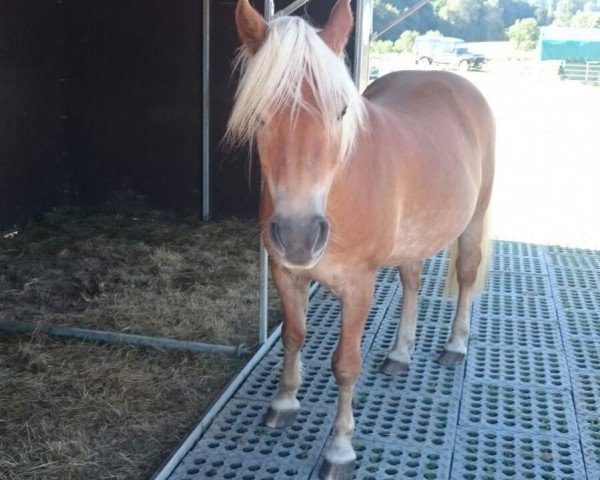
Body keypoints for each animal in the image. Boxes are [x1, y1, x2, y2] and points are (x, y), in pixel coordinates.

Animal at [227, 1, 494, 478]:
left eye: (340, 111)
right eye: (258, 113)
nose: (299, 235)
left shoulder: (358, 287)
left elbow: (346, 365)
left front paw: (340, 448)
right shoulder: (286, 274)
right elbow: (293, 336)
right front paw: (284, 401)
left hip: (473, 220)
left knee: (465, 275)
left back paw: (456, 345)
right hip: (413, 241)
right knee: (412, 283)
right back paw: (401, 354)